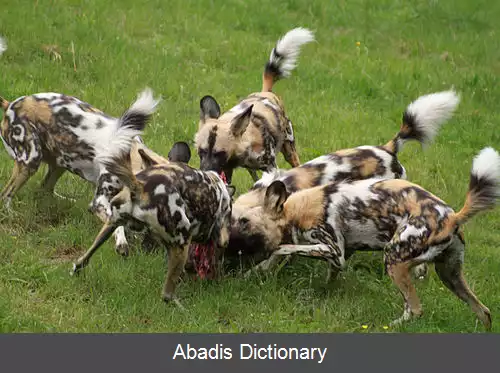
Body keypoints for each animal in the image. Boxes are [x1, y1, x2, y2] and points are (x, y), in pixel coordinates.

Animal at [0, 83, 158, 254]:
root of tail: (10, 105)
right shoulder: (100, 203)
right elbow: (116, 223)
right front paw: (122, 241)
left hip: (59, 164)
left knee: (44, 189)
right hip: (30, 162)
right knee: (6, 195)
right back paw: (11, 214)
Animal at [194, 26, 314, 184]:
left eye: (219, 153)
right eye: (201, 151)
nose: (205, 171)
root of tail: (266, 92)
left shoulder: (270, 167)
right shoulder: (227, 169)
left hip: (290, 150)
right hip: (252, 168)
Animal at [230, 146, 500, 328]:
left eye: (244, 222)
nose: (228, 244)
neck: (295, 209)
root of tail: (452, 216)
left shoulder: (333, 250)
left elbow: (284, 248)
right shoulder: (341, 255)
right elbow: (328, 276)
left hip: (394, 260)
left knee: (414, 308)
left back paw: (391, 327)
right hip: (450, 275)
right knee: (484, 312)